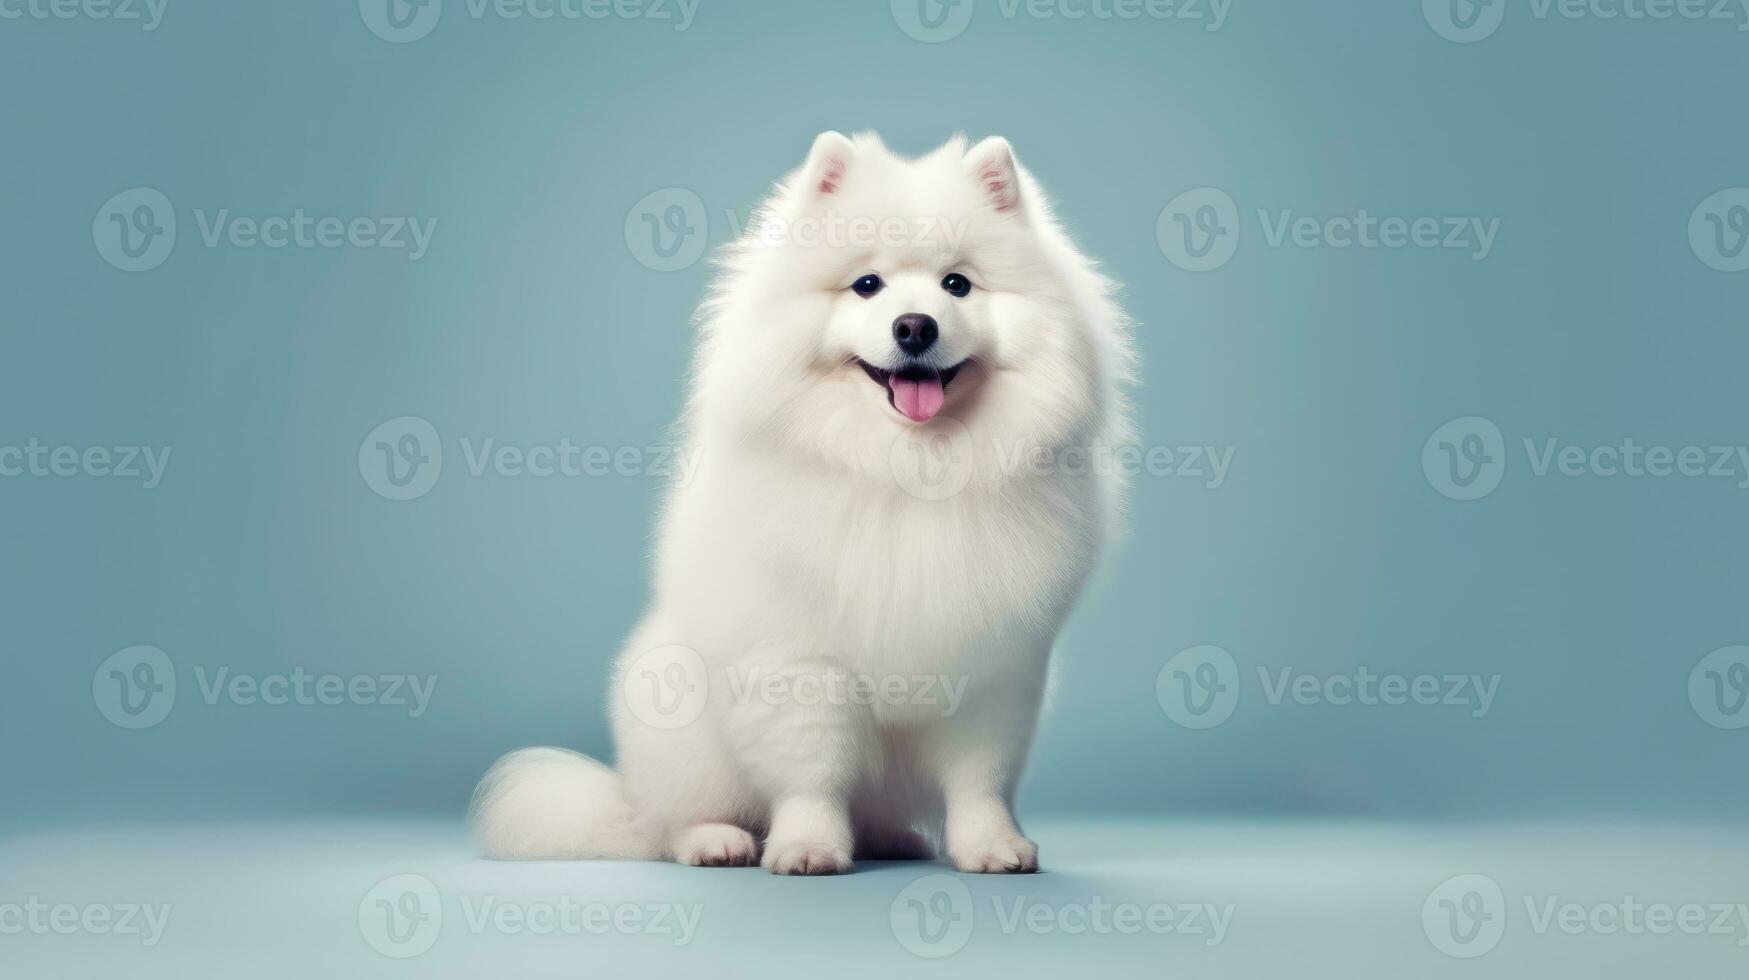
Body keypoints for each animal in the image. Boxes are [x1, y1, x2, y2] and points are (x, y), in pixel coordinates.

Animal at [475, 130, 1133, 871]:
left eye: (957, 284)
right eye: (867, 284)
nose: (914, 326)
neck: (908, 467)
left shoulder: (992, 666)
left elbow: (979, 779)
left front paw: (992, 847)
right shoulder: (798, 661)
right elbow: (812, 772)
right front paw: (809, 846)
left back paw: (890, 837)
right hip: (679, 725)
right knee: (669, 824)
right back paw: (717, 841)